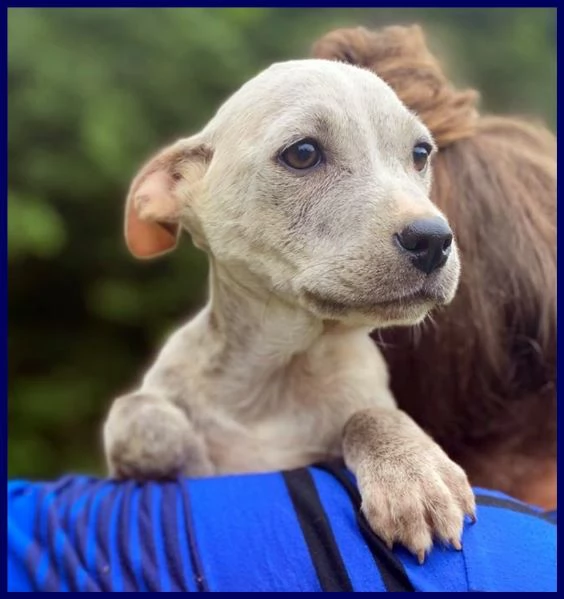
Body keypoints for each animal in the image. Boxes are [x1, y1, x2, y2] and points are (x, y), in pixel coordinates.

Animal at [103, 59, 474, 564]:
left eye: (420, 153)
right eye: (303, 153)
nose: (434, 240)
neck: (279, 376)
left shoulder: (365, 399)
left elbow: (370, 414)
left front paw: (415, 476)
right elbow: (136, 411)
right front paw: (191, 454)